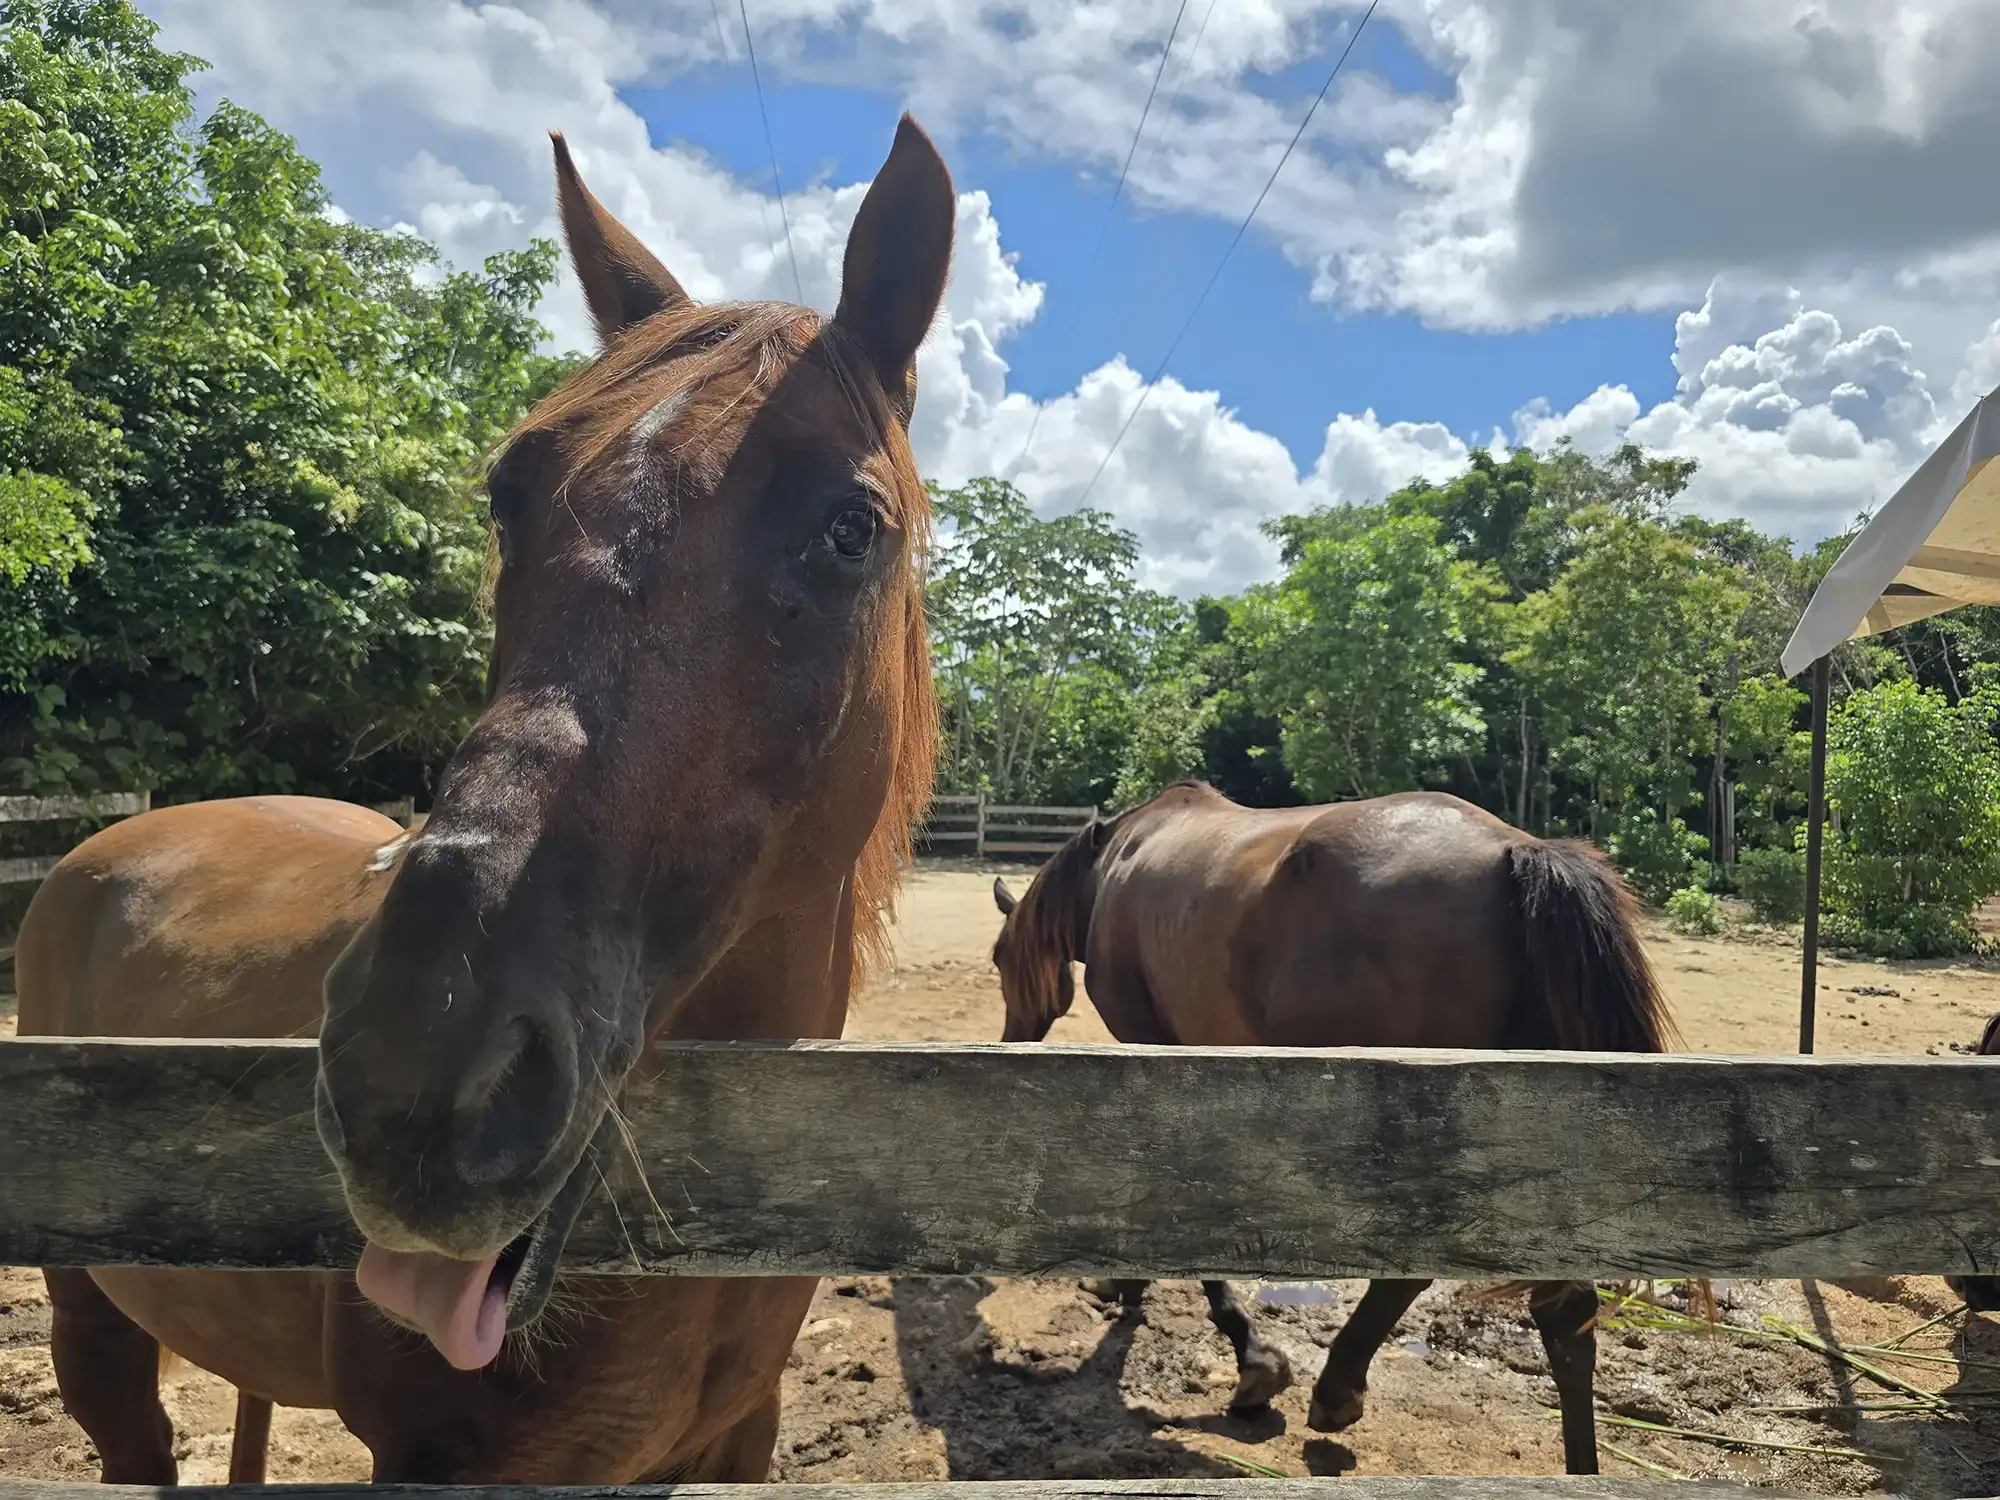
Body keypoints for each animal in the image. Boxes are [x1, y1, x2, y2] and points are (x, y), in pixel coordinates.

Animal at [987, 779, 1682, 1477]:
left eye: (998, 958)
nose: (1008, 1042)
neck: (1116, 861)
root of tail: (1514, 852)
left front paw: (1249, 1358)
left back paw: (1337, 1389)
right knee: (1566, 1316)